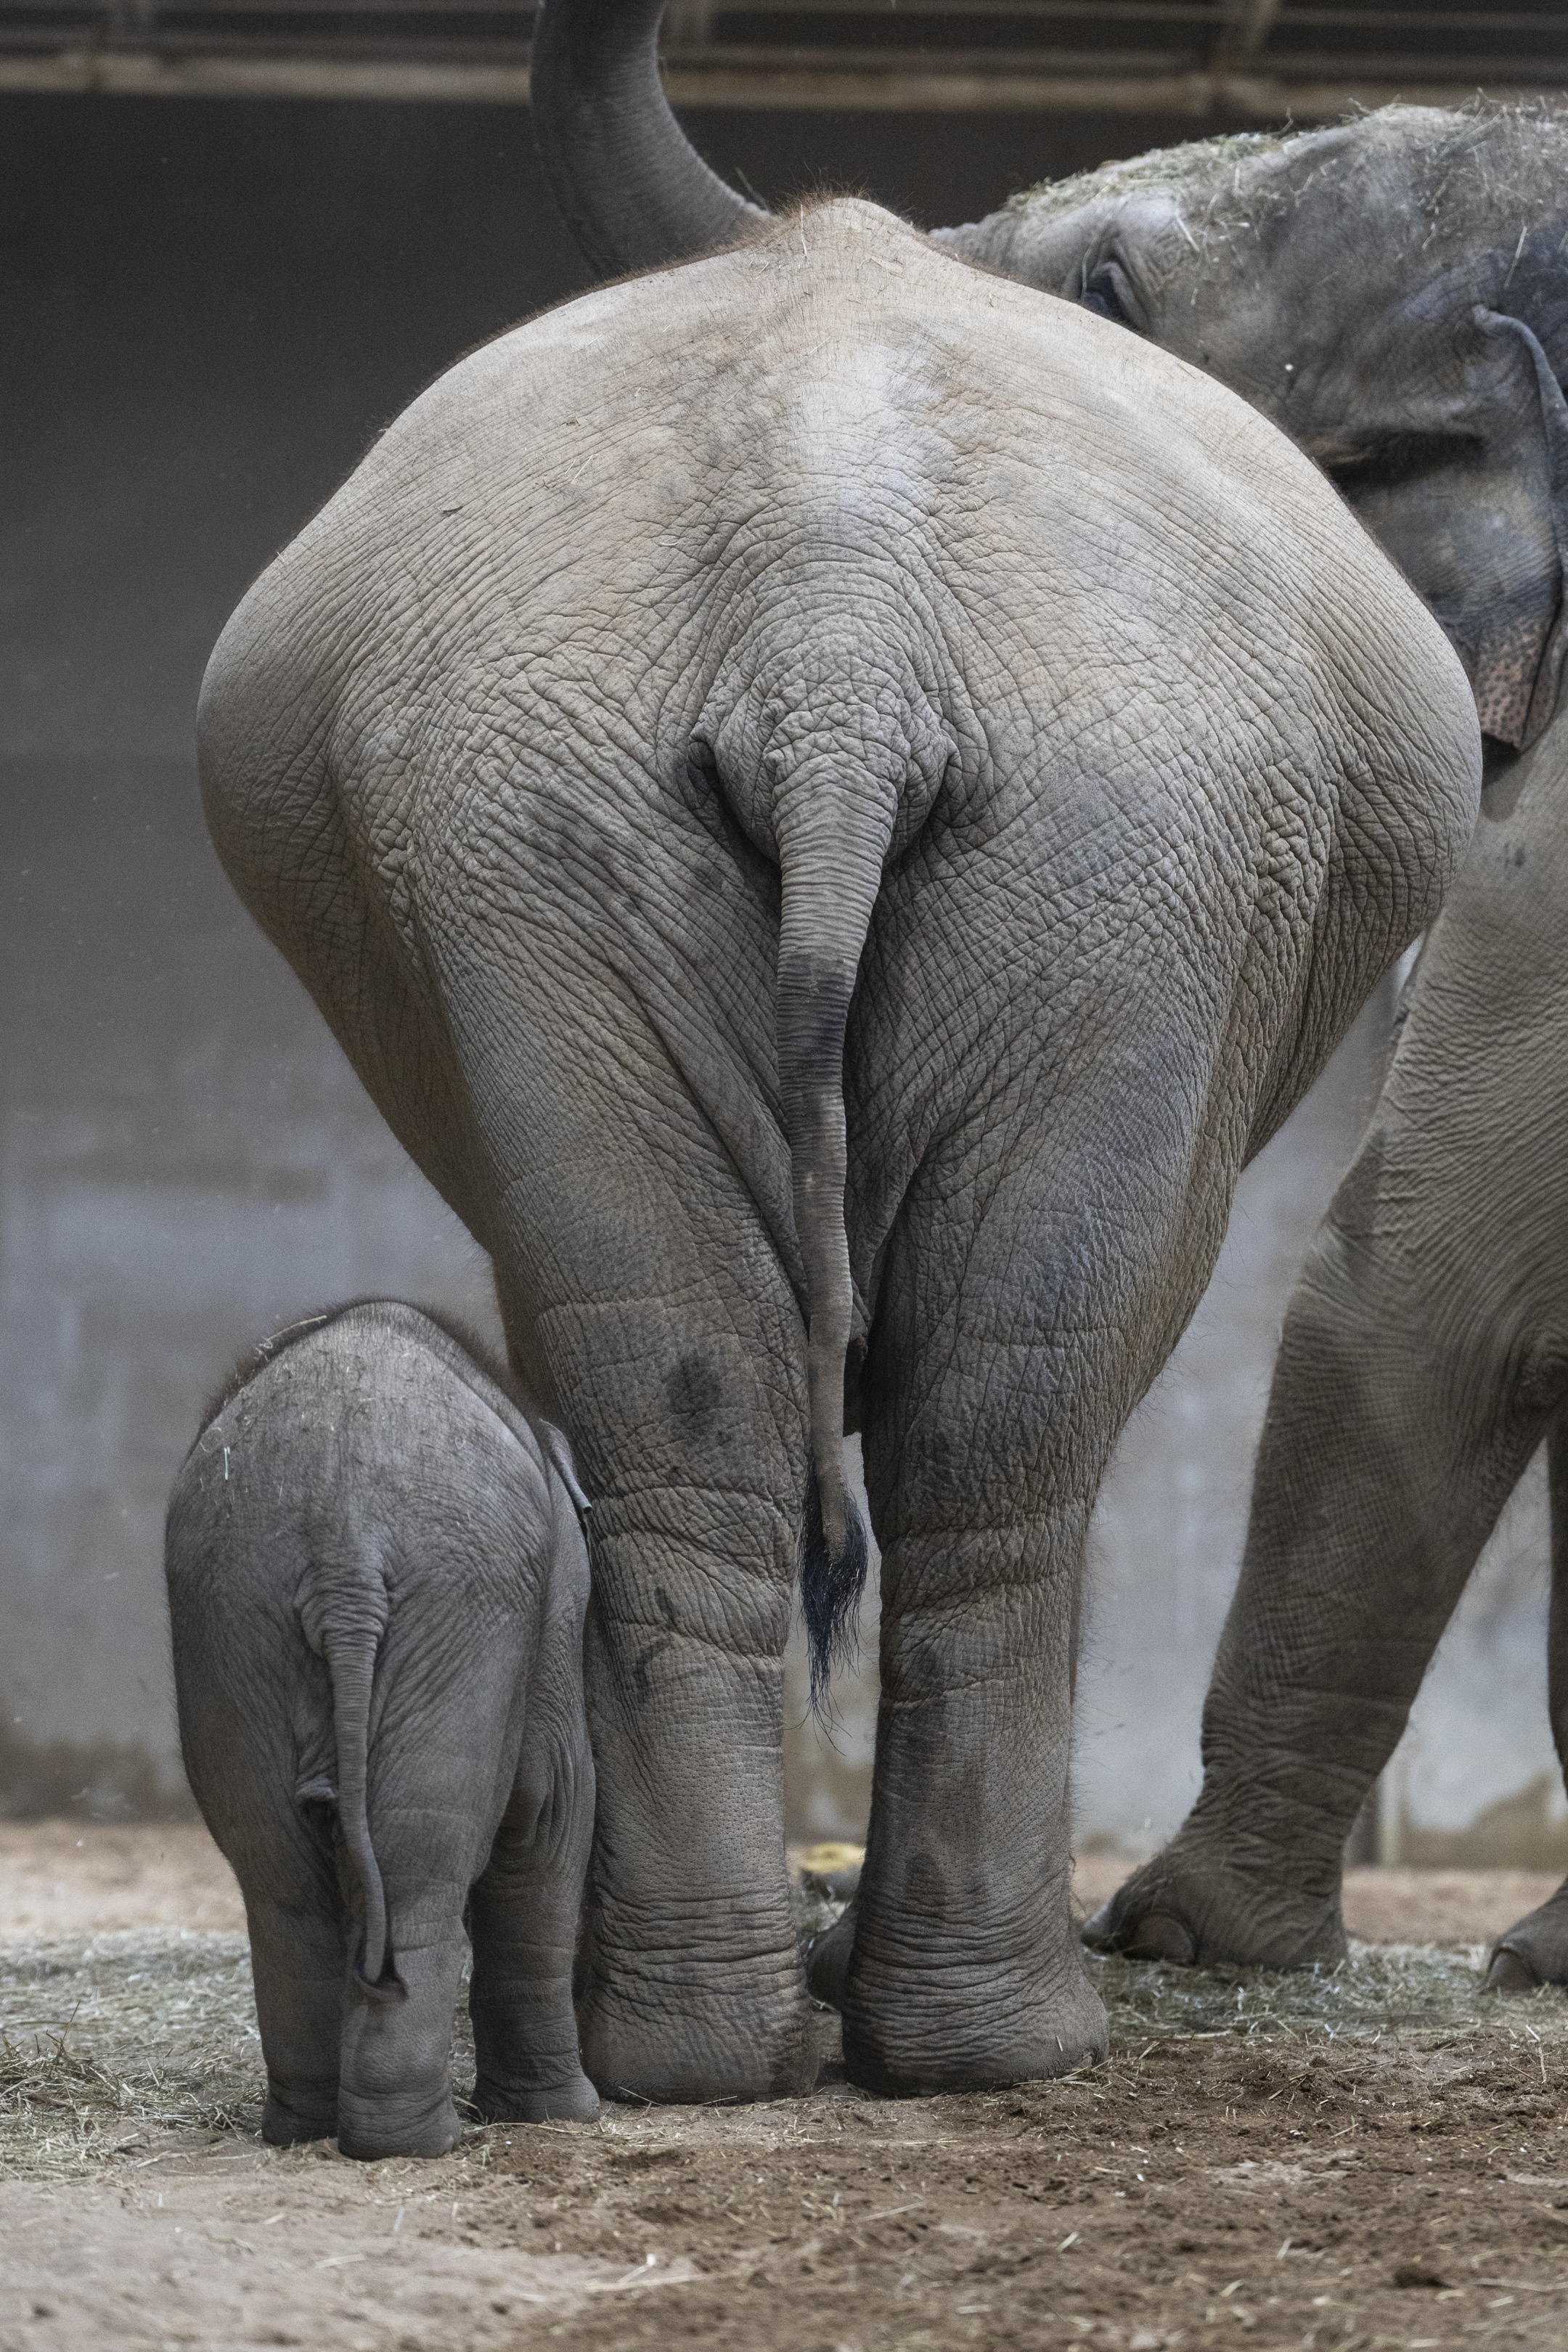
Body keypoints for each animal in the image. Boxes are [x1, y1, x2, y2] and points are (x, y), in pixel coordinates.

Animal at [165, 1298, 599, 2158]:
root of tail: (346, 1548)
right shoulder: (557, 1603)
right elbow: (552, 1804)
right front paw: (566, 2117)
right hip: (460, 1602)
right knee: (420, 1861)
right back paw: (417, 2141)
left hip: (231, 1609)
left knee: (278, 1868)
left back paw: (304, 2130)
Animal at [197, 191, 1478, 2102]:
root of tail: (835, 631)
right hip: (1009, 839)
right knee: (949, 1413)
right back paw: (914, 2043)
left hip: (1037, 840)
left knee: (819, 1395)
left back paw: (794, 2046)